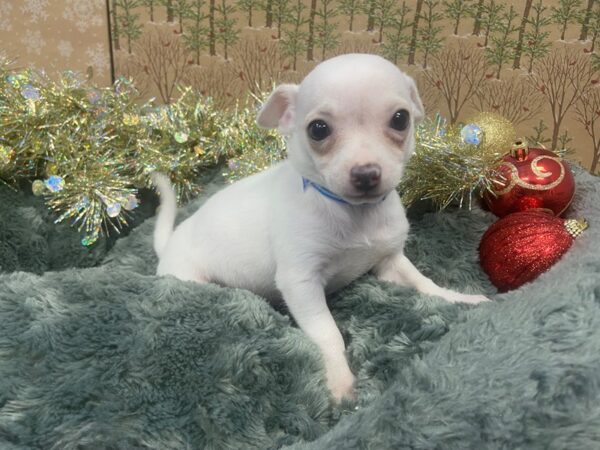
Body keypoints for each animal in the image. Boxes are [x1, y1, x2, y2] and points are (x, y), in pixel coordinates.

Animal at [151, 53, 488, 400]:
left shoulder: (389, 262)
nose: (366, 174)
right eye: (318, 129)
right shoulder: (300, 282)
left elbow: (424, 283)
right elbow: (328, 334)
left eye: (400, 119)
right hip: (189, 278)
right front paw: (340, 379)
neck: (354, 215)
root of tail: (170, 243)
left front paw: (459, 298)